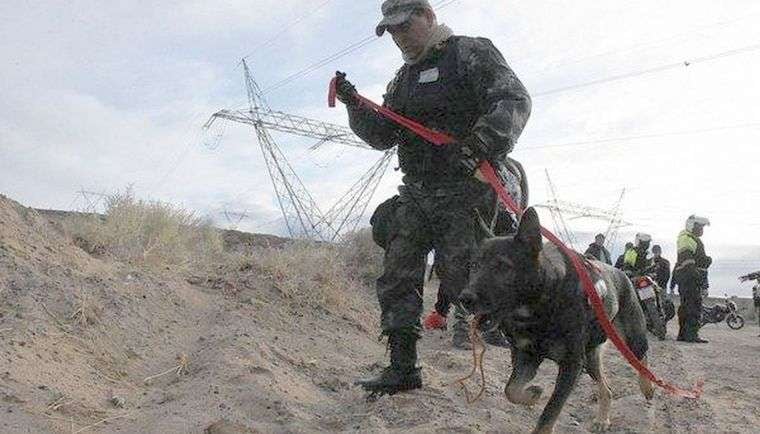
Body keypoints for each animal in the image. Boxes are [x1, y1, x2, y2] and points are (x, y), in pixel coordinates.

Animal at [458, 209, 652, 432]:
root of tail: (621, 272)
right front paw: (533, 394)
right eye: (474, 265)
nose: (464, 299)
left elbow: (550, 412)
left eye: (502, 266)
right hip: (590, 357)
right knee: (607, 388)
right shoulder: (527, 356)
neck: (540, 306)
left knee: (642, 358)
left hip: (630, 339)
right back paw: (602, 419)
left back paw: (647, 387)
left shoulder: (571, 365)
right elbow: (511, 390)